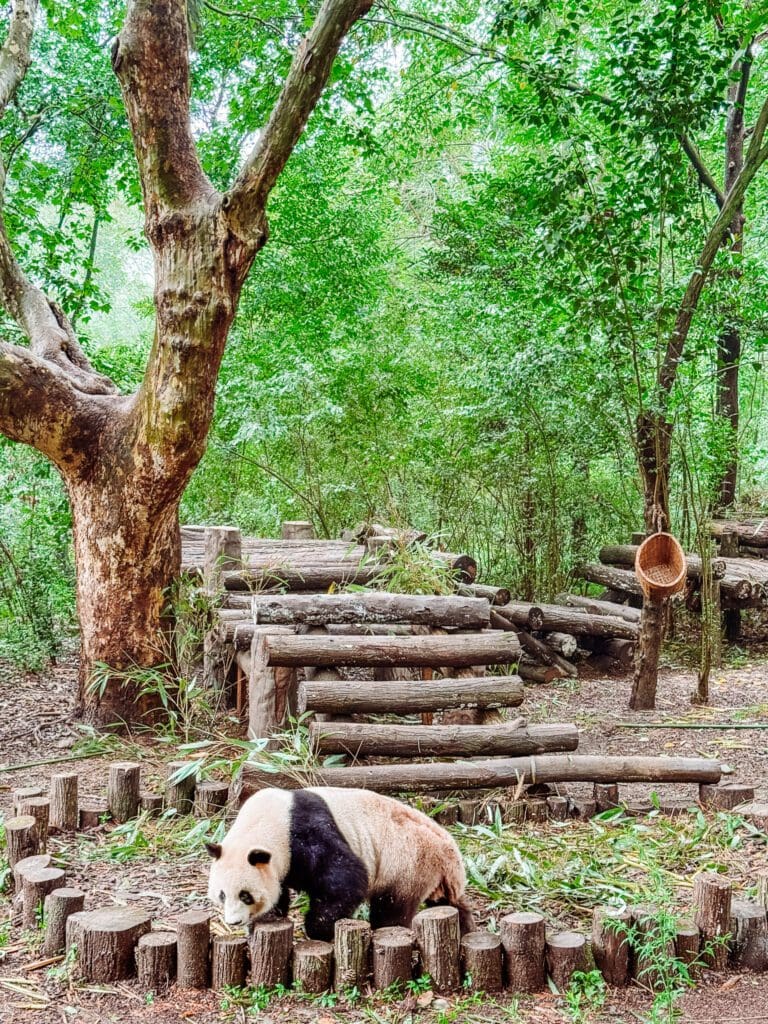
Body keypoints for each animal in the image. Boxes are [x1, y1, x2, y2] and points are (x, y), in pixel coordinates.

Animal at [206, 786, 473, 941]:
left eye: (245, 895)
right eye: (222, 895)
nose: (233, 921)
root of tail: (449, 852)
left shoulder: (304, 834)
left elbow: (345, 879)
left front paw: (318, 928)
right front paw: (269, 917)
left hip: (408, 863)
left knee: (391, 907)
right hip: (432, 874)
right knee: (448, 902)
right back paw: (464, 927)